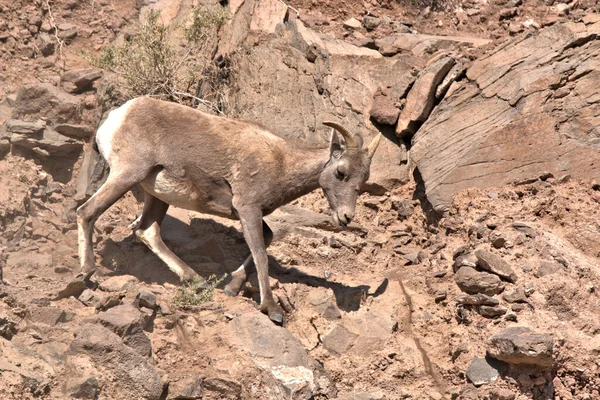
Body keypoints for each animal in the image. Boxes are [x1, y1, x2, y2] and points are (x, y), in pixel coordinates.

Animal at [77, 96, 382, 322]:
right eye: (341, 173)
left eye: (362, 180)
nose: (346, 217)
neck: (282, 161)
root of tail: (118, 115)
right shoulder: (248, 209)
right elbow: (260, 253)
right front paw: (271, 309)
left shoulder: (250, 214)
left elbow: (267, 240)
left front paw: (231, 288)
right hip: (127, 174)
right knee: (87, 212)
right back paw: (88, 271)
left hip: (156, 195)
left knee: (147, 231)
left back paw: (197, 280)